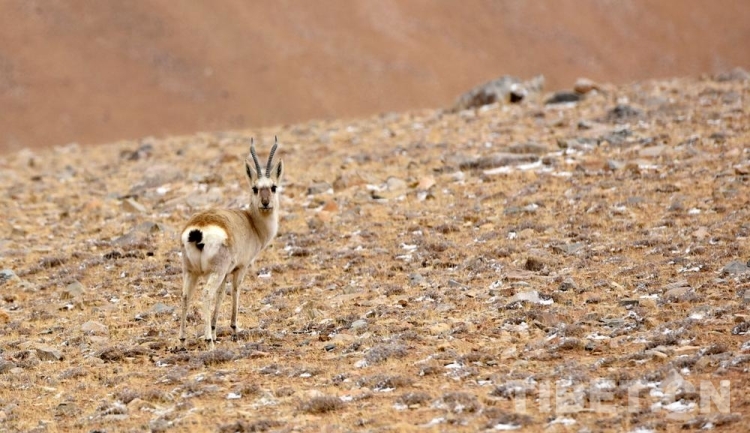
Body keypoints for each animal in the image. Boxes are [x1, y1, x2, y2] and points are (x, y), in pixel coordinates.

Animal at [179, 137, 283, 346]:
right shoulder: (240, 268)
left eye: (273, 187)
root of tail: (197, 229)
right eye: (255, 188)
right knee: (206, 295)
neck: (251, 223)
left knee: (186, 297)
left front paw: (214, 329)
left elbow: (221, 295)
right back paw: (208, 342)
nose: (265, 203)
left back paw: (182, 340)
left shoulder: (226, 273)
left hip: (191, 272)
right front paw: (234, 329)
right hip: (213, 273)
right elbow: (235, 291)